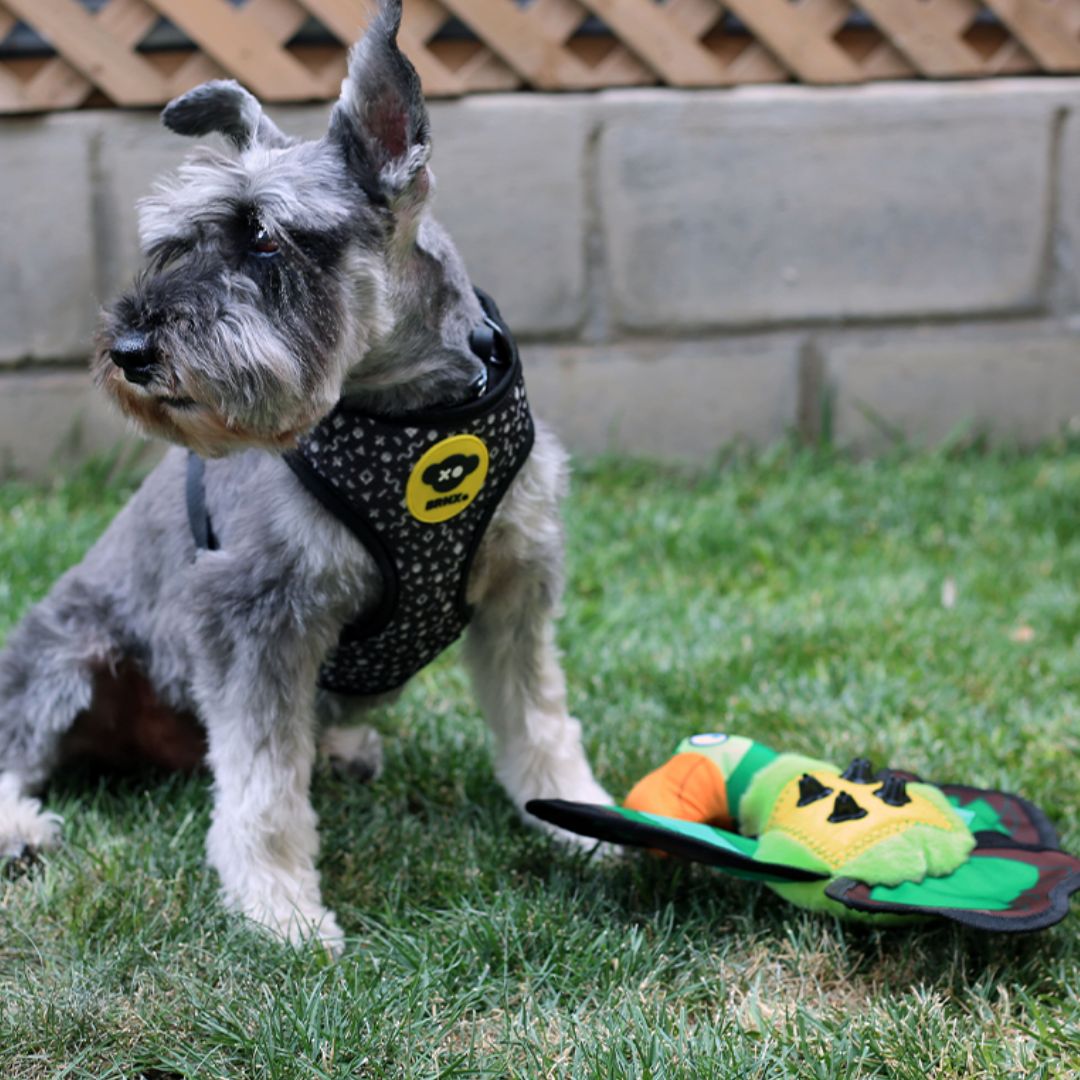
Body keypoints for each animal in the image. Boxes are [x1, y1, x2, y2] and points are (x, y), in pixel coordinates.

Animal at [0, 0, 609, 950]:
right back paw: (20, 829)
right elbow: (260, 782)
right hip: (63, 655)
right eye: (175, 242)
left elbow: (541, 718)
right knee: (21, 745)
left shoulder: (520, 586)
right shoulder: (256, 613)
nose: (129, 350)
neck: (406, 415)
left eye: (262, 235)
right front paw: (278, 907)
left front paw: (579, 819)